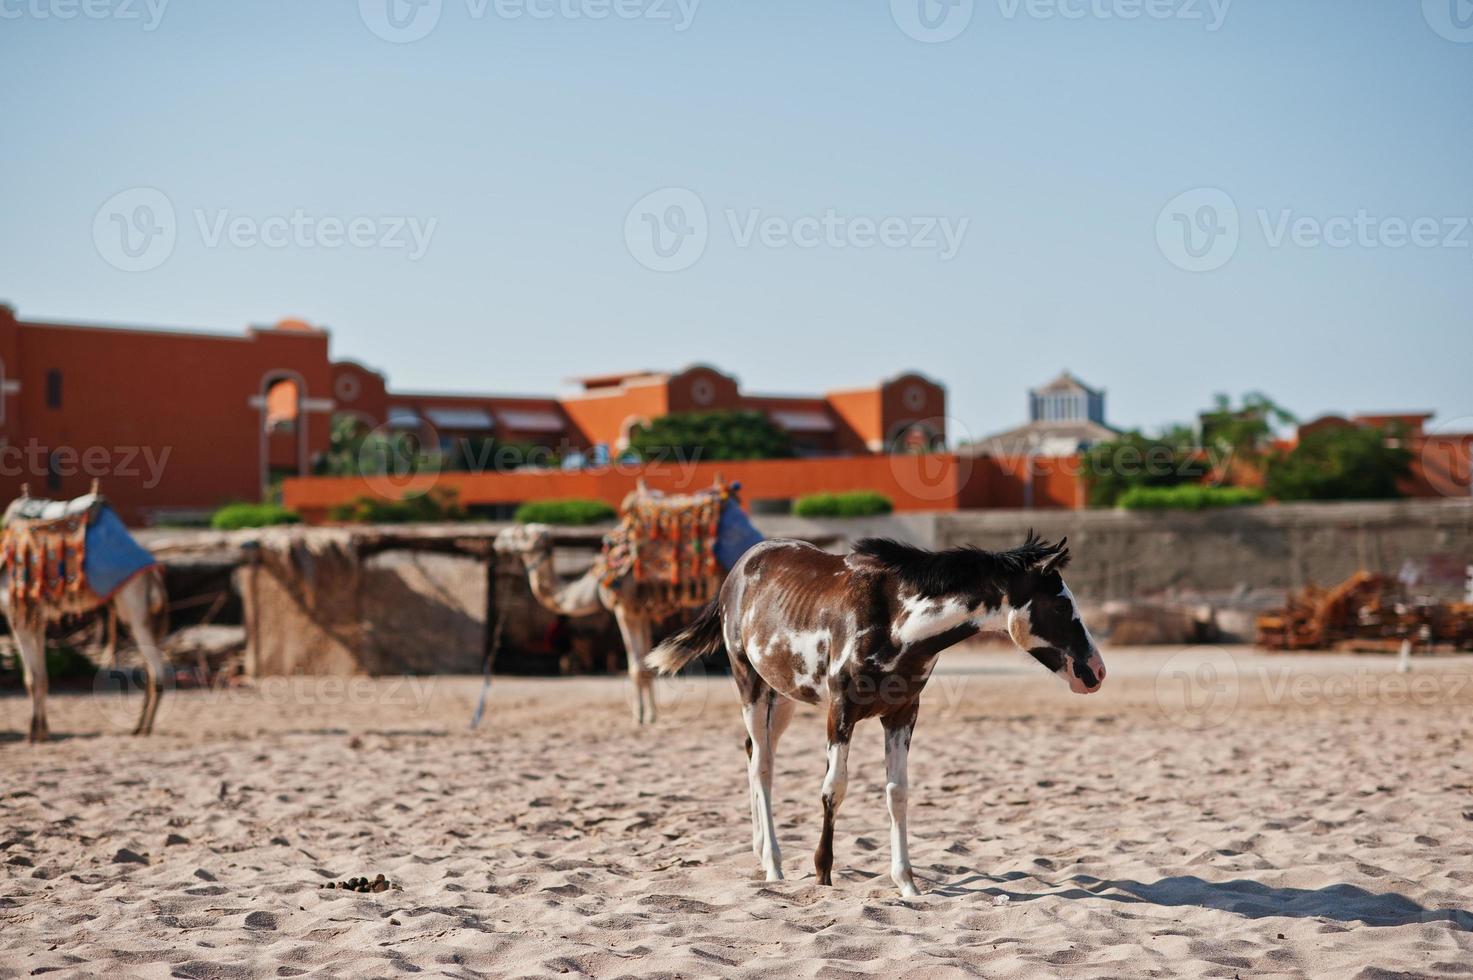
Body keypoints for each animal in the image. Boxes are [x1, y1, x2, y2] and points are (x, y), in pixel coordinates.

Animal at [494, 524, 662, 722]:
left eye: (522, 533)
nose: (498, 540)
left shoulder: (626, 608)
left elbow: (637, 668)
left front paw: (640, 717)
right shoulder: (643, 612)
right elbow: (649, 663)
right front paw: (651, 714)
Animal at [648, 536, 1107, 896]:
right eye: (1061, 607)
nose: (1097, 671)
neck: (894, 620)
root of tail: (738, 571)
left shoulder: (902, 714)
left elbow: (896, 792)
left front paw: (907, 883)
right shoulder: (841, 712)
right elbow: (834, 789)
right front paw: (823, 873)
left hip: (784, 697)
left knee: (755, 756)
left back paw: (762, 853)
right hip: (751, 687)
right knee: (762, 765)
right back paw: (775, 866)